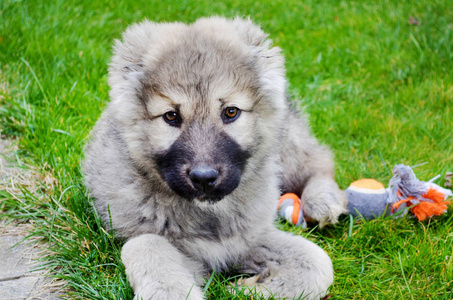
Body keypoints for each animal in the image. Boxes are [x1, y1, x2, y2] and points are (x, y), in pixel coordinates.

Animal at [83, 17, 346, 300]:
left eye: (230, 112)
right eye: (171, 116)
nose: (204, 178)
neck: (209, 214)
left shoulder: (250, 238)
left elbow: (316, 263)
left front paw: (247, 289)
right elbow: (147, 246)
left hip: (287, 150)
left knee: (318, 162)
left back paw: (323, 200)